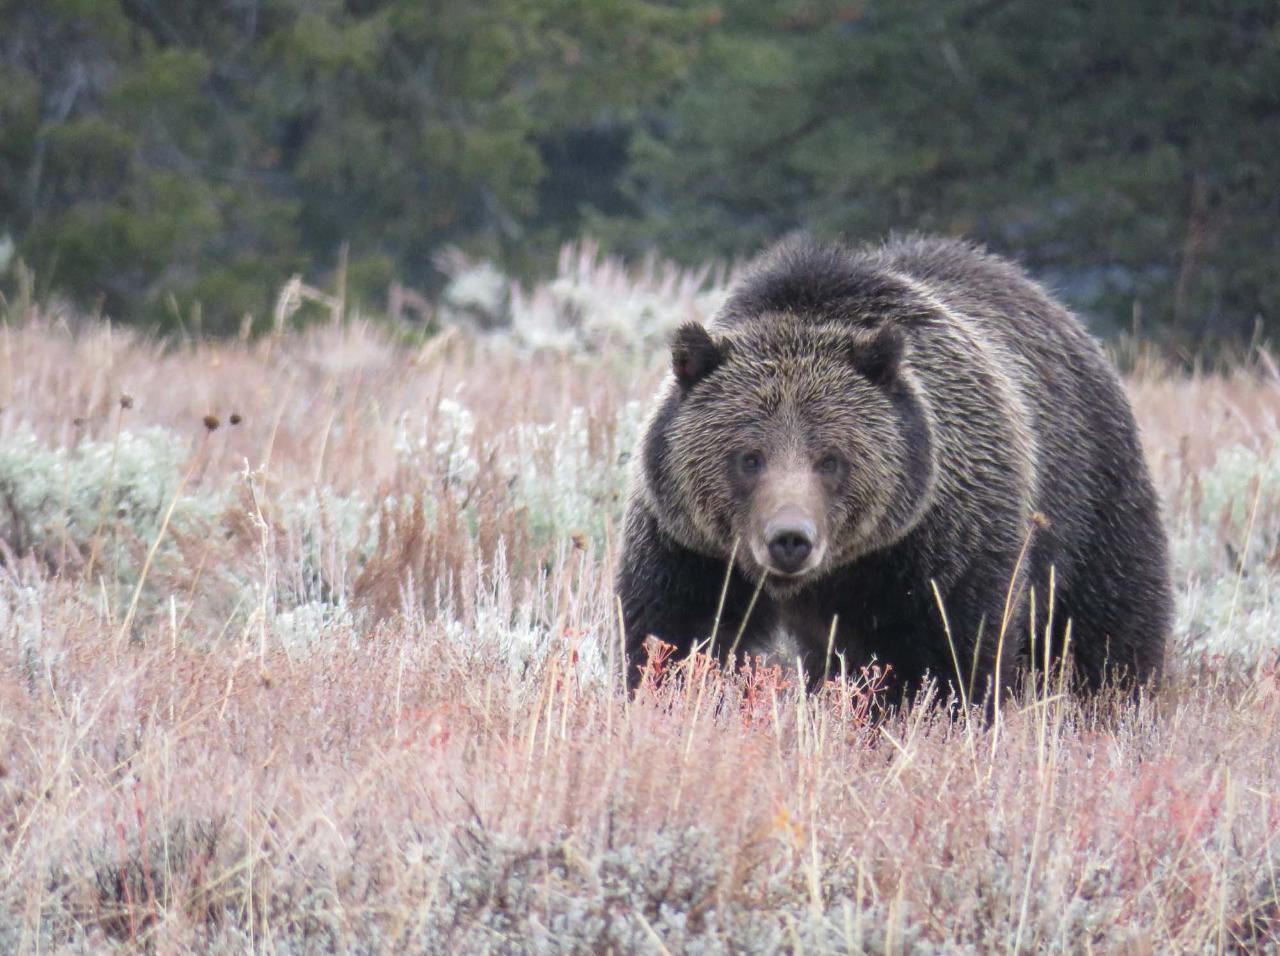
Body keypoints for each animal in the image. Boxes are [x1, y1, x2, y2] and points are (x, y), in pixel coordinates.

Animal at [616, 236, 1172, 706]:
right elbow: (675, 636)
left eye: (831, 459)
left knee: (1106, 623)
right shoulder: (692, 548)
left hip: (1090, 496)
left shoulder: (939, 546)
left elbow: (949, 655)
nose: (790, 539)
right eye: (749, 457)